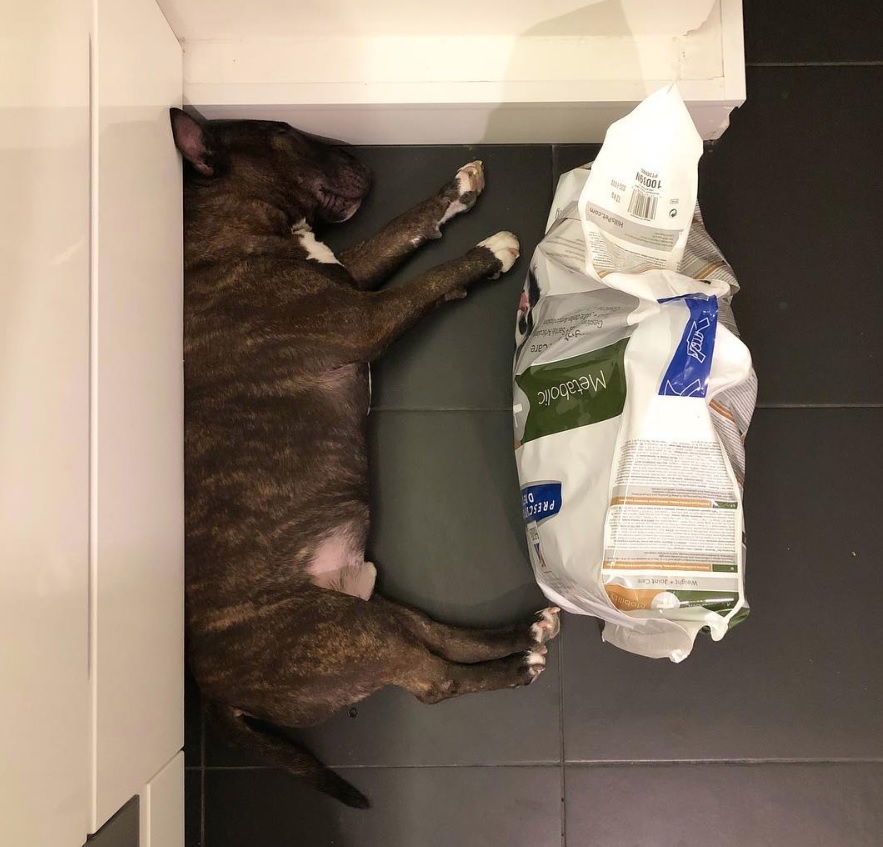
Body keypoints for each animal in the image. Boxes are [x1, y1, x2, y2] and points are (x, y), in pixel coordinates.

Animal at [171, 109, 560, 812]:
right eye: (283, 131)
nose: (363, 159)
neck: (231, 227)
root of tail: (214, 695)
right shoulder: (362, 316)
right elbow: (429, 279)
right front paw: (489, 252)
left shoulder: (350, 272)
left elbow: (398, 230)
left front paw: (456, 191)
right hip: (345, 637)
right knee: (435, 682)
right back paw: (517, 666)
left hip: (367, 617)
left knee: (440, 636)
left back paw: (526, 636)